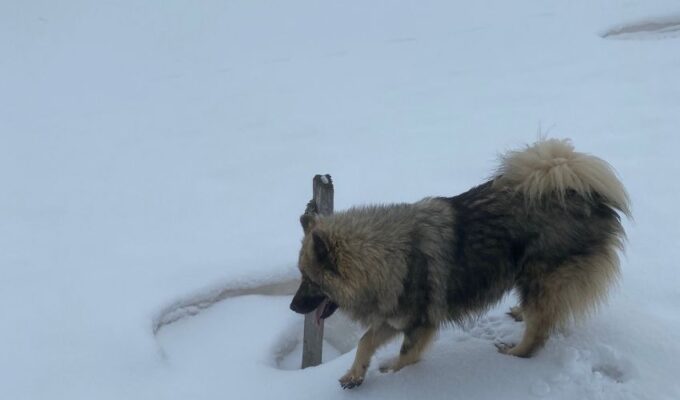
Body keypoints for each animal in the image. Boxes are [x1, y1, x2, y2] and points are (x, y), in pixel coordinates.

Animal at [286, 139, 628, 390]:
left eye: (311, 280)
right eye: (301, 277)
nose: (292, 306)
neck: (388, 255)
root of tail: (584, 195)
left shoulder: (419, 323)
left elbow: (406, 355)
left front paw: (393, 373)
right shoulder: (393, 315)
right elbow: (364, 341)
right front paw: (355, 374)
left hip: (539, 278)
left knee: (539, 331)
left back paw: (515, 353)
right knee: (544, 315)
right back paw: (520, 313)